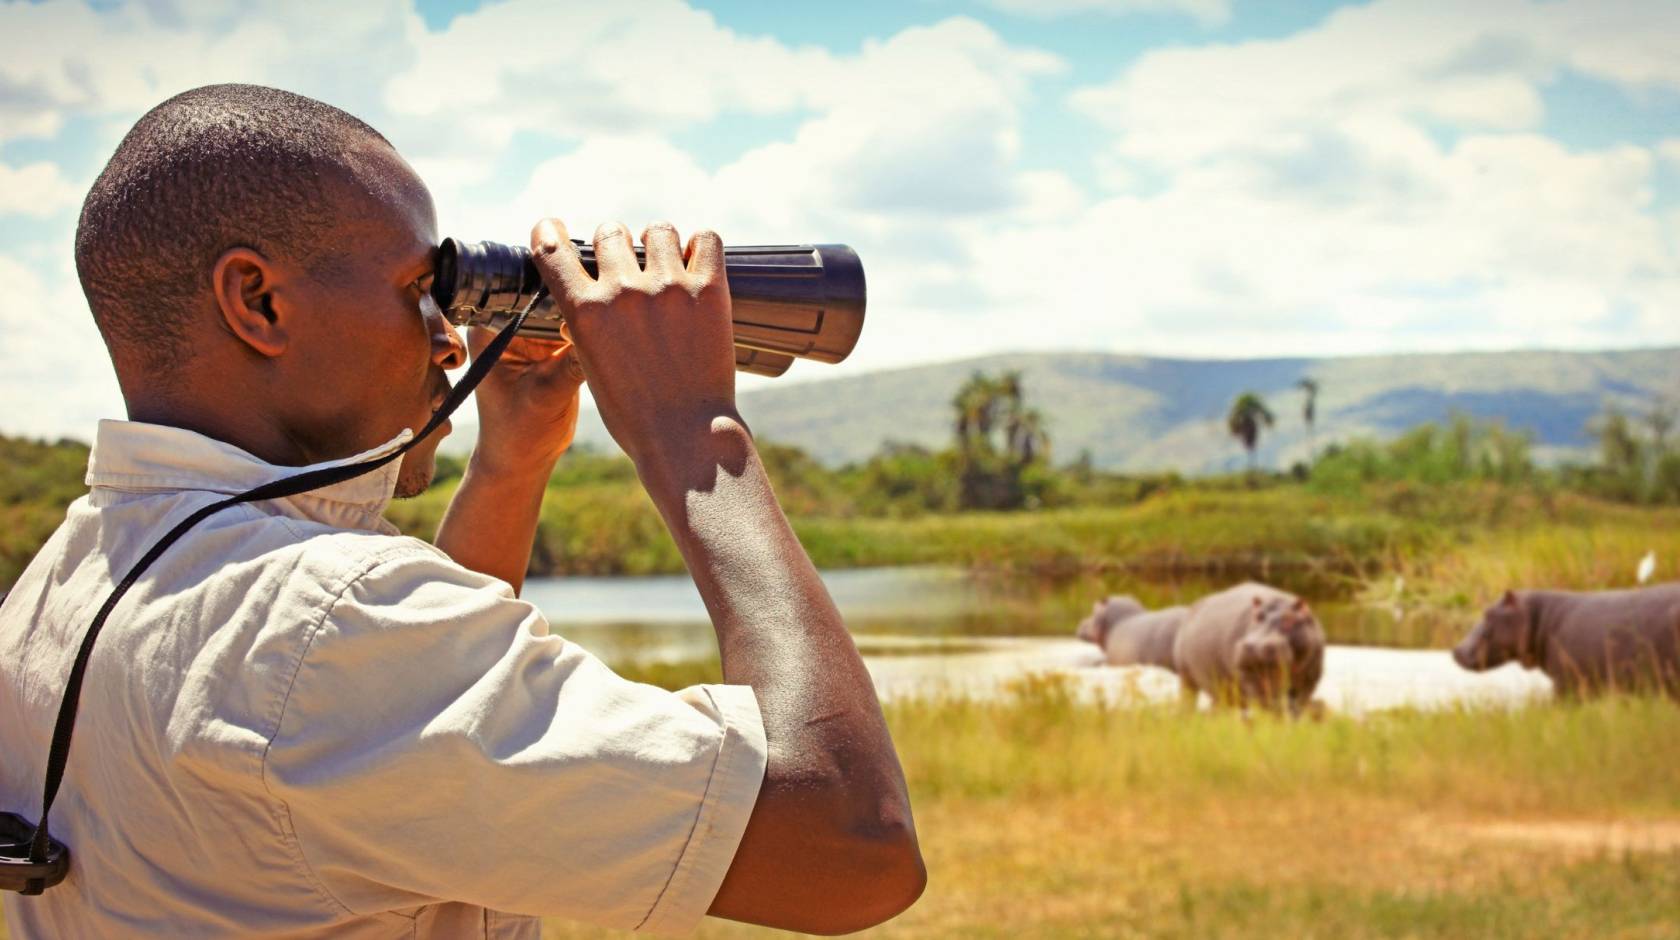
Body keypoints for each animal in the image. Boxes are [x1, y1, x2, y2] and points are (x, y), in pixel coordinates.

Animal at [1176, 580, 1317, 711]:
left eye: (1289, 620)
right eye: (1257, 617)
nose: (1254, 646)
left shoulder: (1307, 682)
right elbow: (1264, 702)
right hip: (1186, 676)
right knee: (1188, 697)